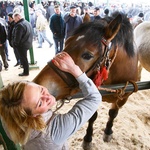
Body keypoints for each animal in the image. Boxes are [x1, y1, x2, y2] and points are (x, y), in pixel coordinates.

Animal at [32, 12, 138, 148]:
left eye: (87, 55)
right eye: (66, 42)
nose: (39, 84)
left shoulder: (123, 97)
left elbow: (113, 113)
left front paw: (108, 131)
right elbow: (92, 116)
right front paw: (88, 139)